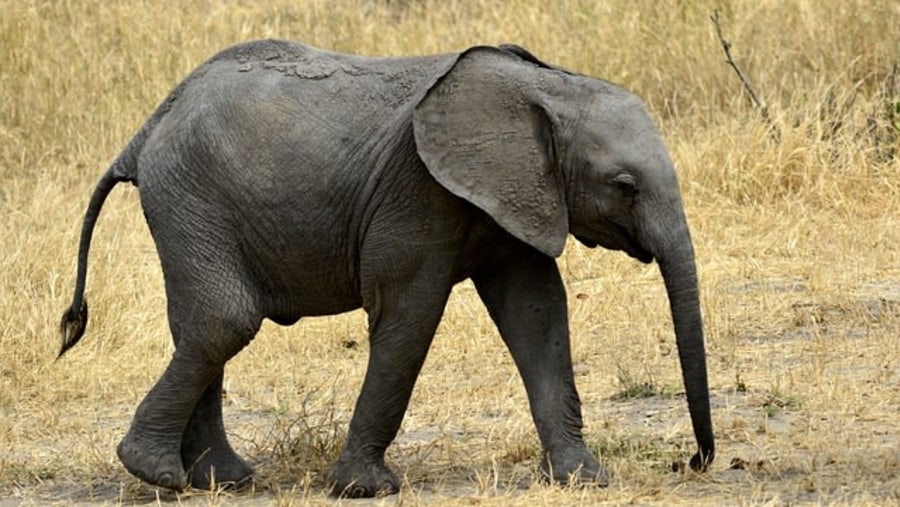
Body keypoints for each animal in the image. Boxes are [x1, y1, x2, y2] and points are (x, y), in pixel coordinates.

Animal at [59, 40, 712, 500]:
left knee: (200, 328)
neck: (548, 87)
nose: (692, 461)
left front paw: (584, 479)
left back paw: (223, 481)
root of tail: (147, 128)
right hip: (191, 198)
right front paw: (364, 490)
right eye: (624, 186)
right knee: (225, 321)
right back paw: (157, 473)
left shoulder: (518, 194)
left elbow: (537, 313)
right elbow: (409, 314)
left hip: (189, 204)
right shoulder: (417, 192)